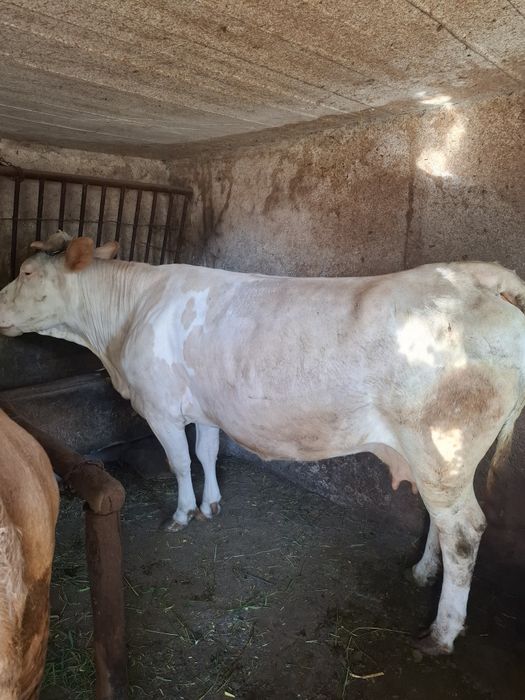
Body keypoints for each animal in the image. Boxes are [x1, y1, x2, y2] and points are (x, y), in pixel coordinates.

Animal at [1, 230, 524, 656]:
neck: (124, 321)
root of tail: (472, 277)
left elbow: (178, 463)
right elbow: (206, 453)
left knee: (463, 531)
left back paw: (441, 633)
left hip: (440, 444)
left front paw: (182, 514)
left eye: (26, 272)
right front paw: (210, 505)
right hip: (443, 460)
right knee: (440, 519)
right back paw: (422, 573)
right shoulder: (205, 407)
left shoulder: (161, 407)